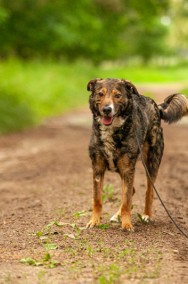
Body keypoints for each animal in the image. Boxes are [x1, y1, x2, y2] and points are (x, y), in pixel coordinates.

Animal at [87, 77, 188, 231]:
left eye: (118, 95)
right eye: (100, 94)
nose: (107, 109)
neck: (112, 130)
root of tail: (157, 107)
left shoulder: (128, 169)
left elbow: (126, 202)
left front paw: (127, 224)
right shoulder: (98, 168)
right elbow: (97, 199)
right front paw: (94, 221)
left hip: (151, 163)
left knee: (148, 192)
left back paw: (146, 215)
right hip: (123, 171)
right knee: (131, 191)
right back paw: (117, 216)